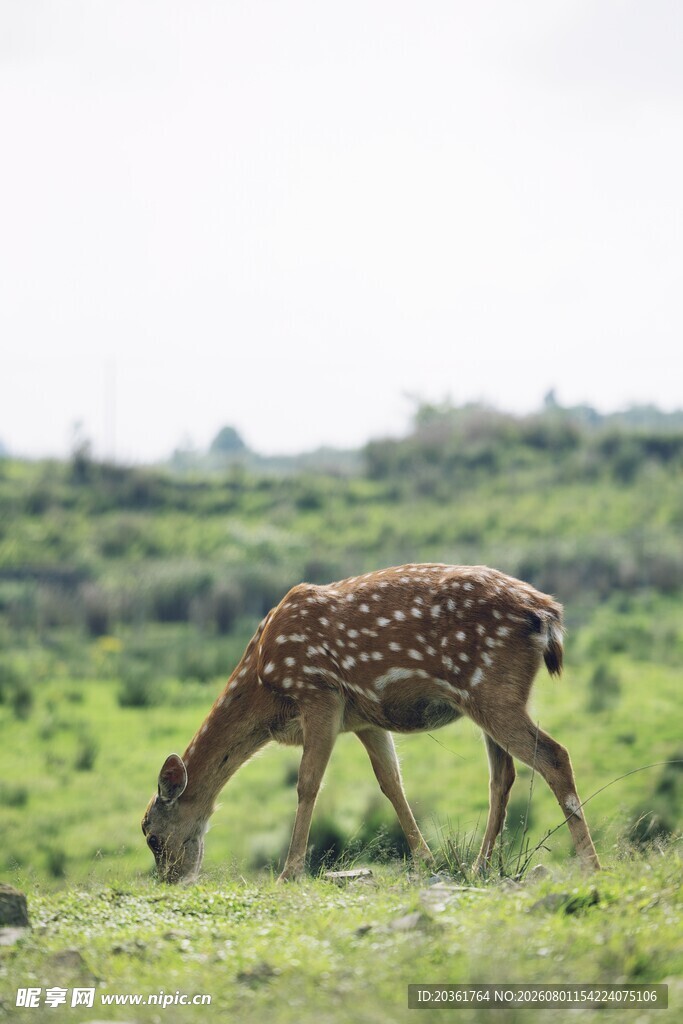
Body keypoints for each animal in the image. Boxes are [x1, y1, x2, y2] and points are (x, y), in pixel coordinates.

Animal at [142, 563, 601, 882]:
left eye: (151, 836)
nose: (171, 880)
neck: (265, 685)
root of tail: (547, 615)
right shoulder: (364, 717)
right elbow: (391, 783)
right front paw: (426, 861)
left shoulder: (319, 693)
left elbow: (307, 783)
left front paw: (290, 872)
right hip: (491, 697)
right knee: (502, 776)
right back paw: (479, 867)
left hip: (491, 689)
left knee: (554, 756)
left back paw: (590, 865)